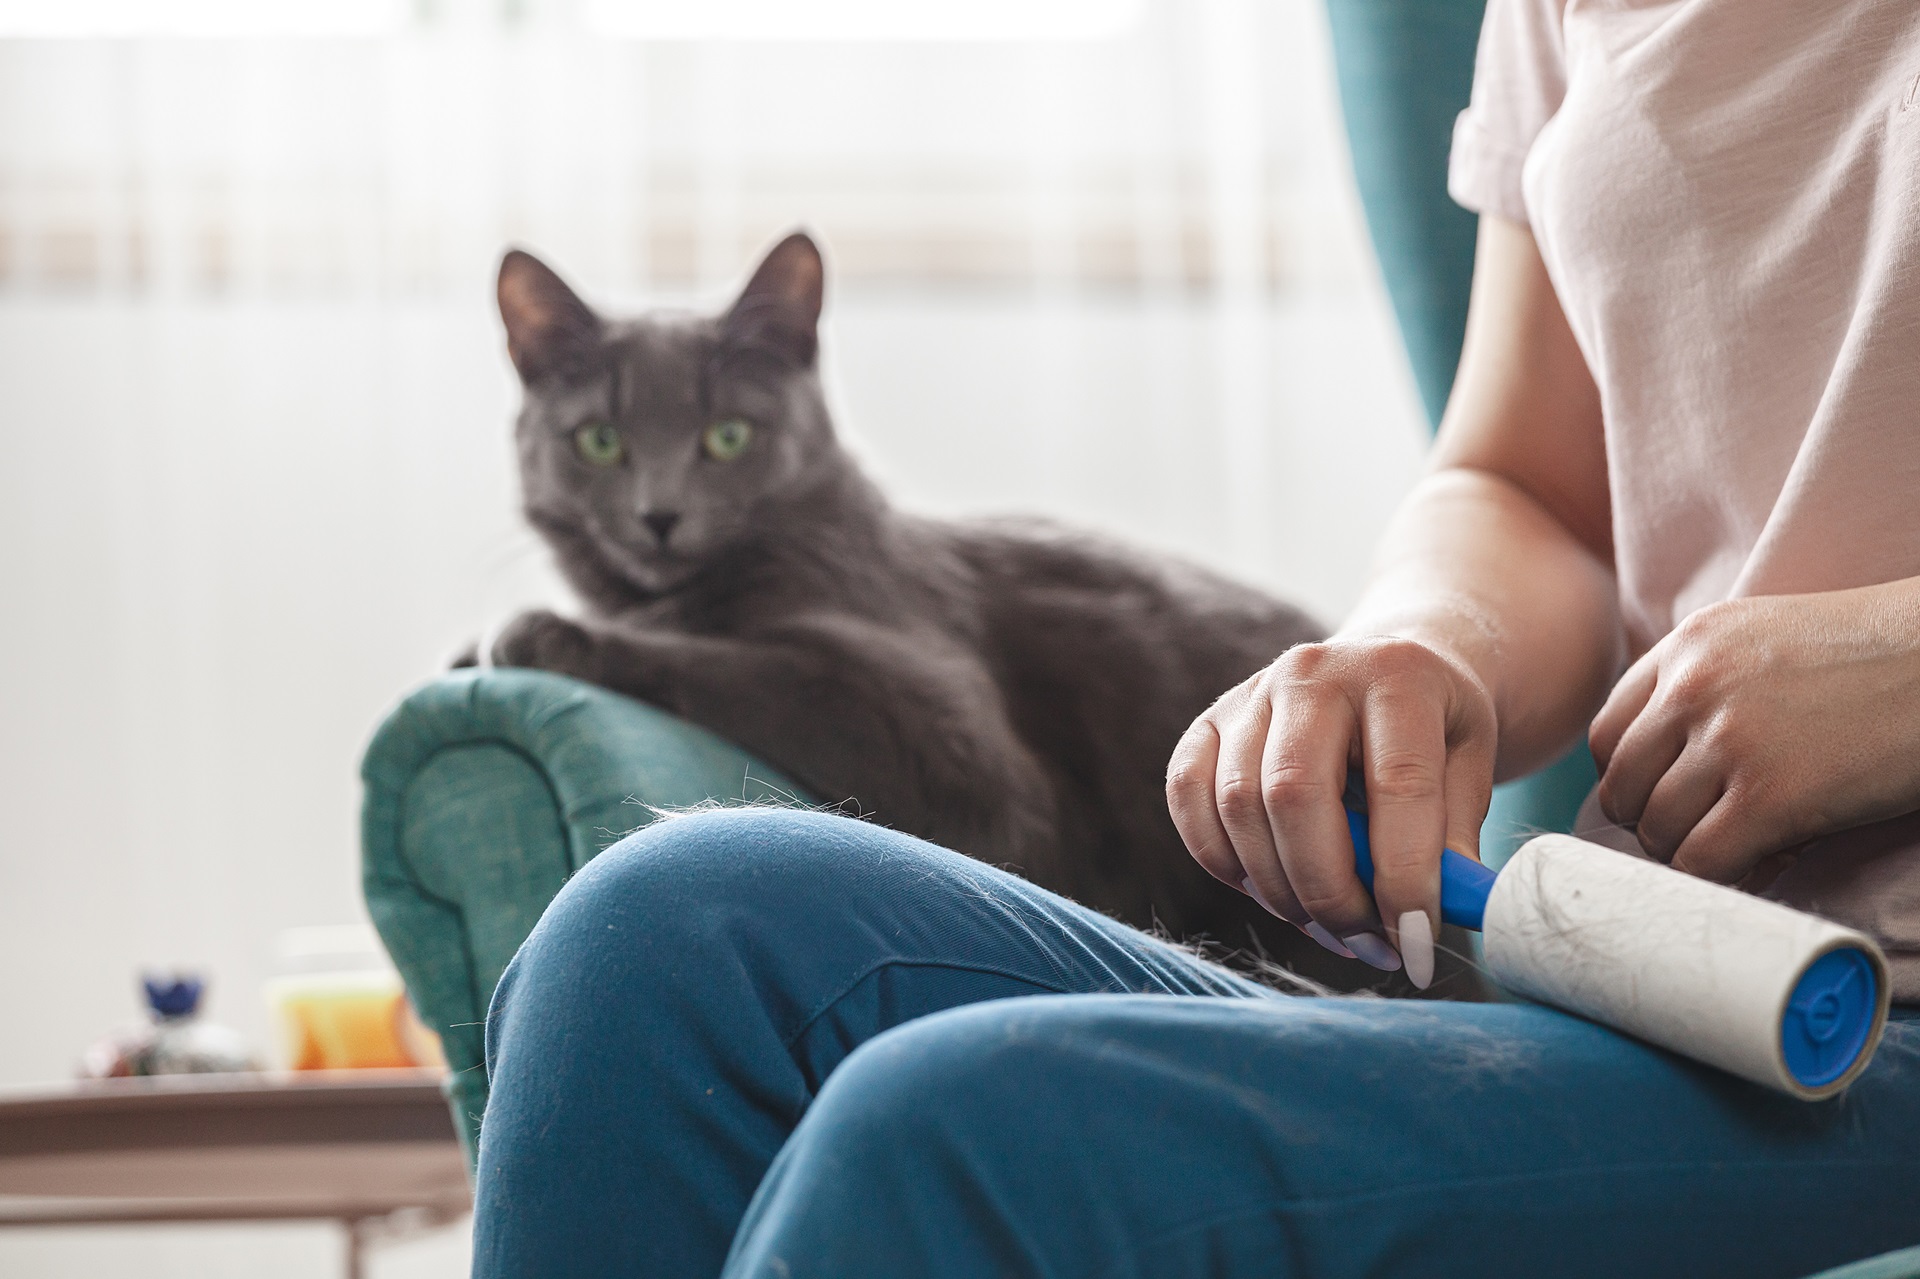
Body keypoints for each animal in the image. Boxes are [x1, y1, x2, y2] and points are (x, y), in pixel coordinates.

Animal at [474, 229, 1390, 983]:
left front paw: (535, 632)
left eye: (728, 436)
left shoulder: (957, 738)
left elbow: (739, 661)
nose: (658, 516)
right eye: (599, 442)